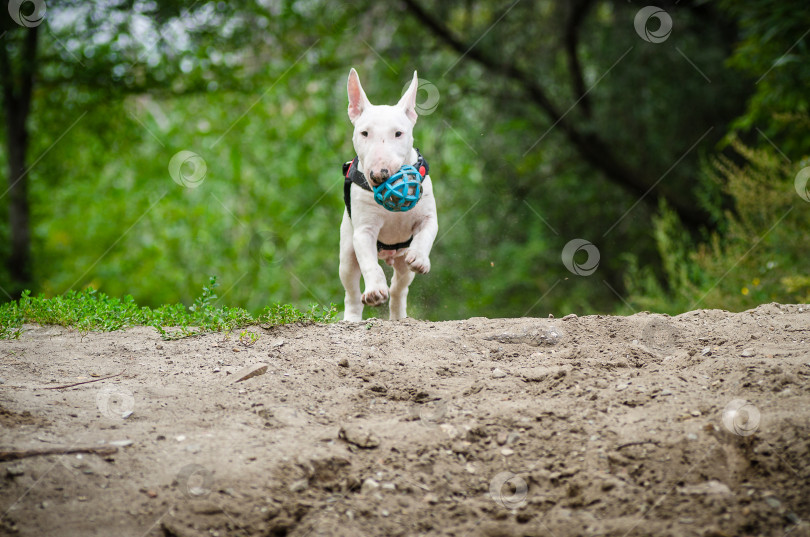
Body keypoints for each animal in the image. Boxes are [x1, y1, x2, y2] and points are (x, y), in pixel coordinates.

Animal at [336, 66, 436, 318]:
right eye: (364, 133)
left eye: (398, 133)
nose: (379, 174)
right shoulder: (363, 232)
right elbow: (370, 265)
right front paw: (374, 291)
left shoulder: (428, 218)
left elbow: (426, 234)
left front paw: (420, 258)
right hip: (347, 254)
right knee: (351, 291)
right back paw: (352, 318)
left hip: (401, 262)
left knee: (399, 288)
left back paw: (399, 316)